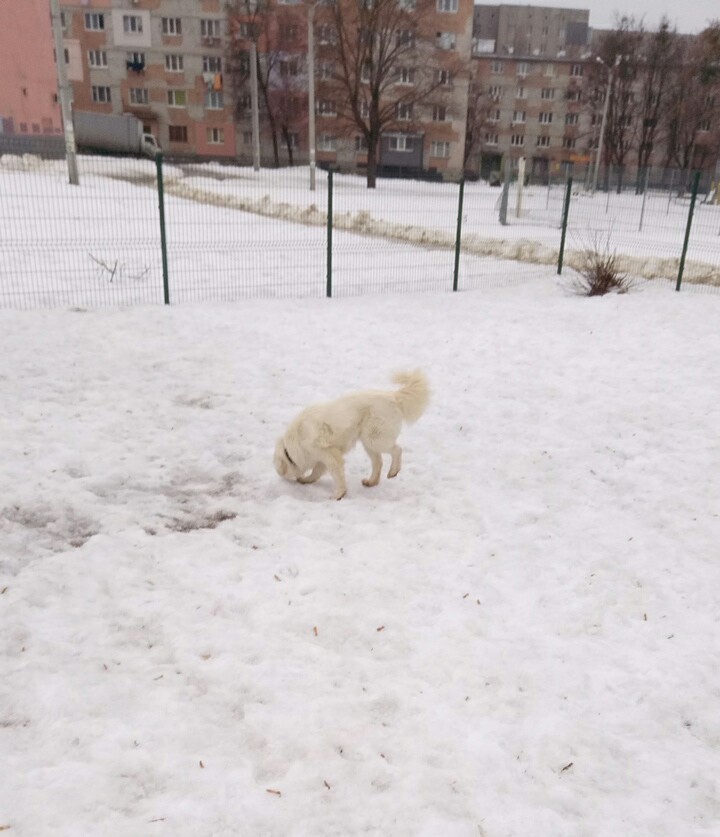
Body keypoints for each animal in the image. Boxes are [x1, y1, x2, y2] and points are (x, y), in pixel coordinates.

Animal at [272, 370, 428, 500]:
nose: (282, 480)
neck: (293, 445)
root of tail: (393, 397)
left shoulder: (329, 455)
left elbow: (336, 475)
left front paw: (338, 495)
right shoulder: (323, 456)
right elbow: (317, 471)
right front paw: (307, 480)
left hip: (375, 439)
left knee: (397, 450)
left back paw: (393, 471)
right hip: (368, 443)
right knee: (378, 462)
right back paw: (371, 482)